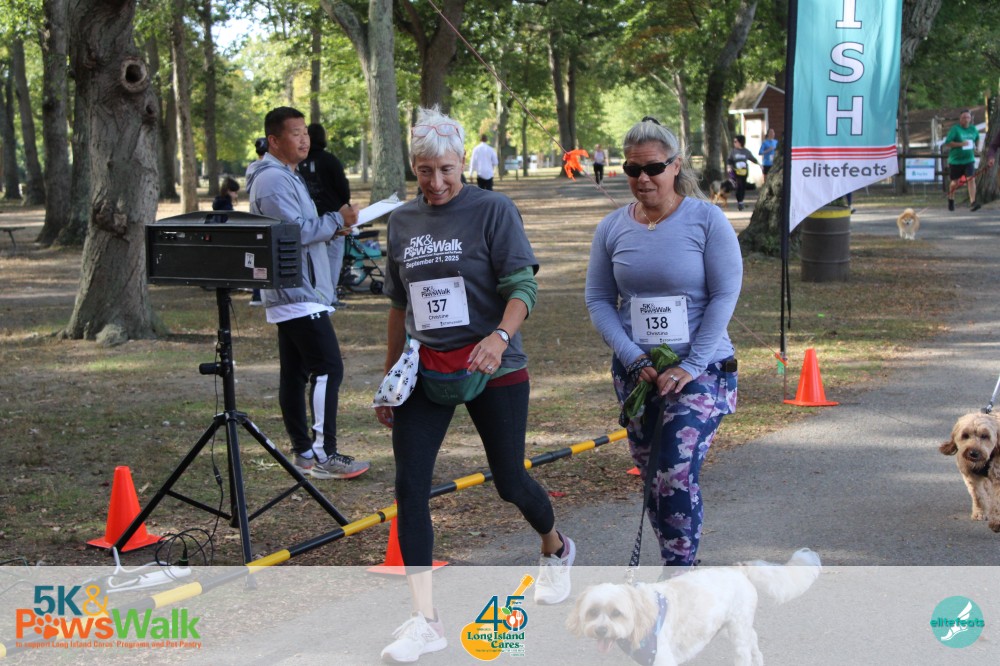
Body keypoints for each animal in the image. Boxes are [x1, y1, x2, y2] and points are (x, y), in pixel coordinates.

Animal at [566, 548, 821, 666]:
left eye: (616, 613)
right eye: (593, 612)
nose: (600, 630)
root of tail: (738, 568)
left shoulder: (662, 658)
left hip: (737, 631)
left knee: (744, 654)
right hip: (733, 624)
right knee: (754, 644)